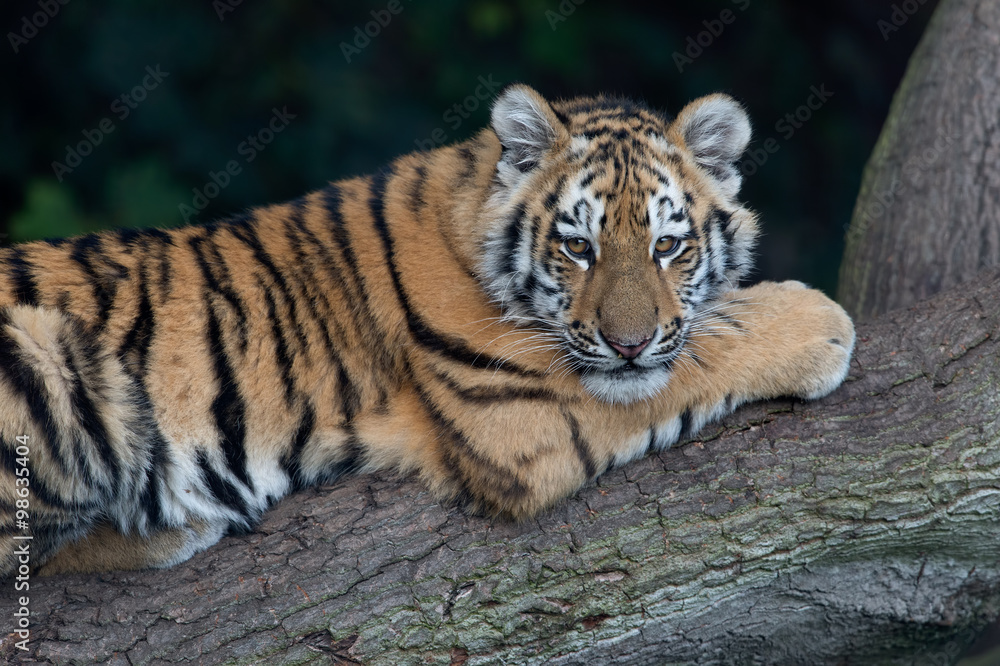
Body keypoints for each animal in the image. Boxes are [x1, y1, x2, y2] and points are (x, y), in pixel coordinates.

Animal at [0, 84, 855, 576]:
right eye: (578, 248)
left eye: (668, 246)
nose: (629, 343)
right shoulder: (516, 410)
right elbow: (699, 354)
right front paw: (820, 324)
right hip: (44, 357)